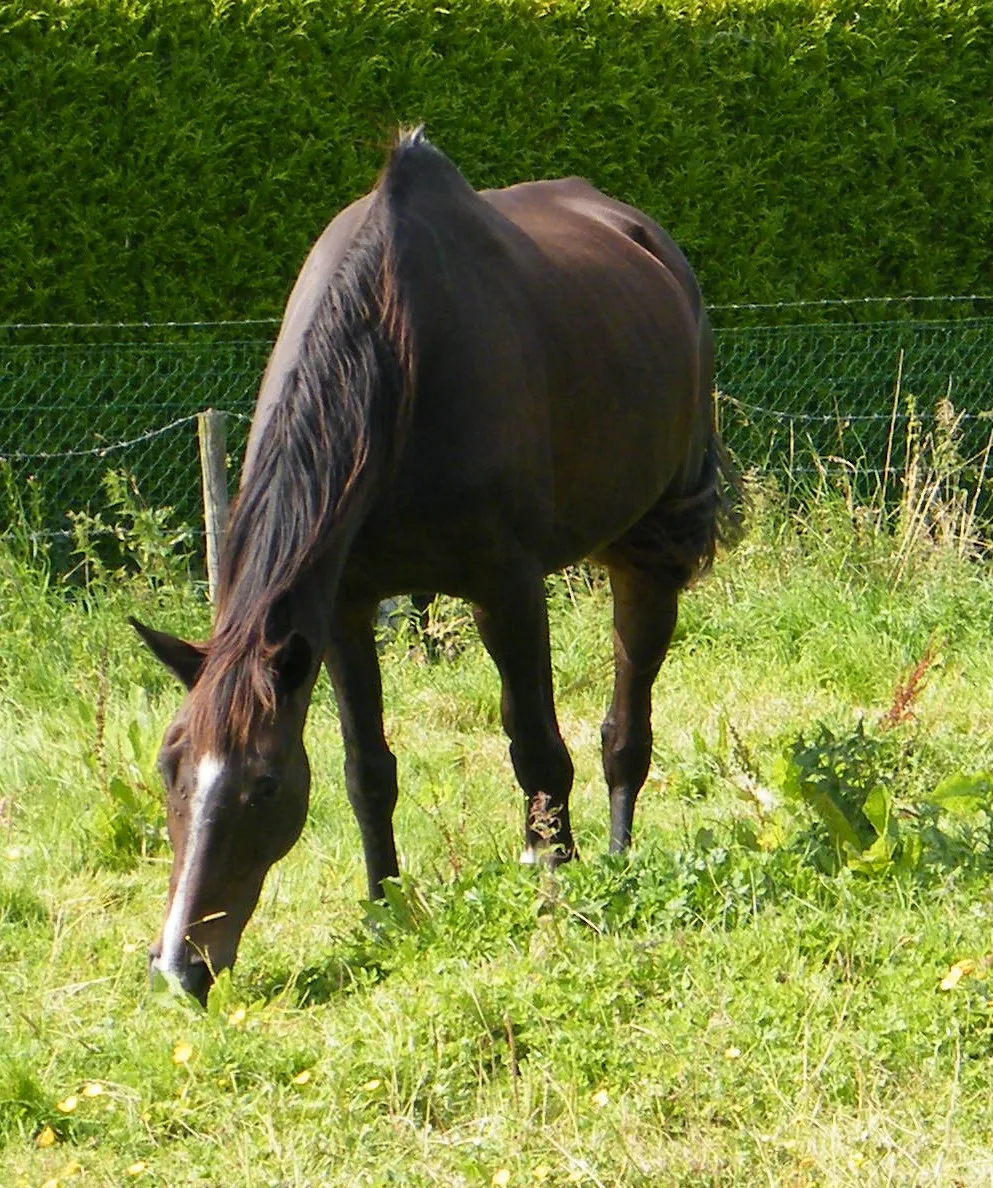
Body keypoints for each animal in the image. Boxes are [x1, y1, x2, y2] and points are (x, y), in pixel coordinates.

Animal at [130, 130, 736, 1002]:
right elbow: (366, 769)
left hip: (645, 545)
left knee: (627, 718)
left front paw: (554, 882)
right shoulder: (342, 612)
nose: (180, 965)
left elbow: (535, 746)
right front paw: (385, 907)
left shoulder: (505, 589)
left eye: (265, 784)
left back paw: (617, 857)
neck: (395, 357)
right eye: (169, 765)